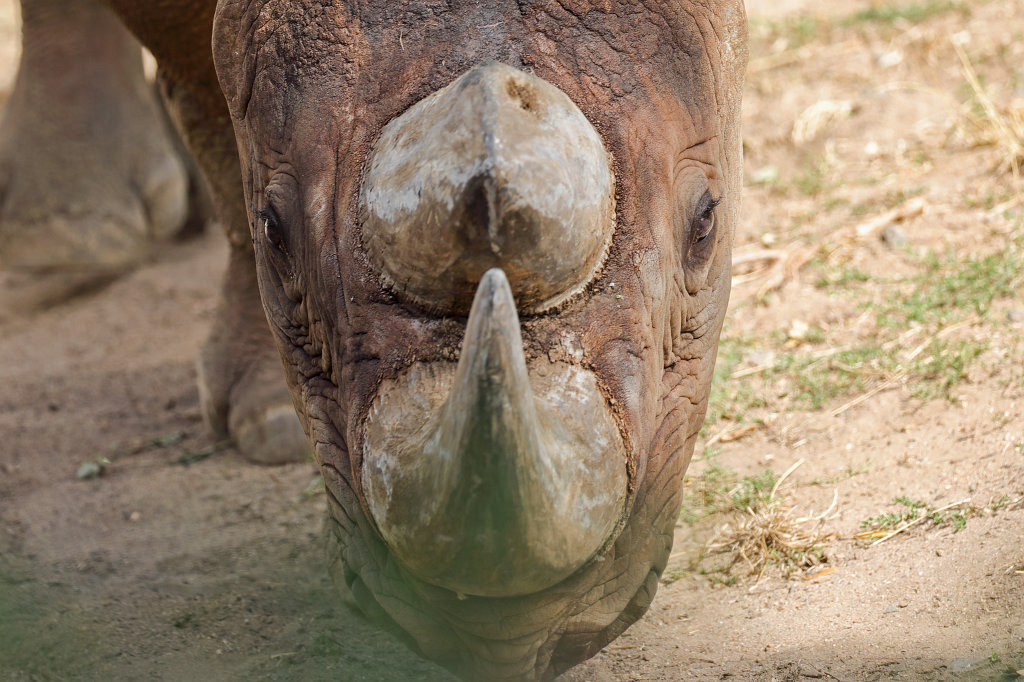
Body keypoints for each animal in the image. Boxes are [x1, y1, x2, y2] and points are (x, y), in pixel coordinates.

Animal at [0, 0, 748, 679]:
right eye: (275, 232)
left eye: (706, 224)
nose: (512, 637)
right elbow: (194, 66)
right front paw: (269, 421)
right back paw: (68, 240)